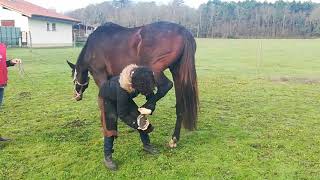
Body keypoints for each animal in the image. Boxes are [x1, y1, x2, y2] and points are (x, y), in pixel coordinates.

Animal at [67, 21, 198, 148]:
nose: (76, 96)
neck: (92, 47)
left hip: (155, 69)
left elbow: (103, 104)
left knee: (166, 86)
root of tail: (183, 30)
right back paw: (174, 139)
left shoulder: (101, 78)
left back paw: (146, 108)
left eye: (73, 78)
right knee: (180, 107)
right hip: (177, 74)